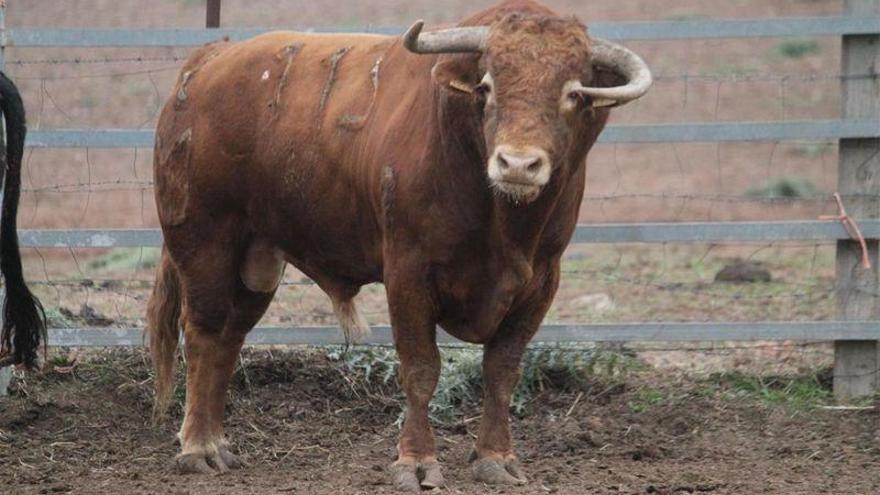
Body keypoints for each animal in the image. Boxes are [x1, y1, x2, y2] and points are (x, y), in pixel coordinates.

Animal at [148, 0, 648, 488]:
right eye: (487, 87)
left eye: (574, 93)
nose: (518, 164)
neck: (503, 223)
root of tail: (211, 59)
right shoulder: (409, 272)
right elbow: (422, 369)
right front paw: (417, 461)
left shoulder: (541, 282)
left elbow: (502, 370)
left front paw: (496, 457)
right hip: (205, 244)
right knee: (203, 333)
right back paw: (197, 447)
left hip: (257, 262)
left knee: (229, 339)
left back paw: (218, 442)